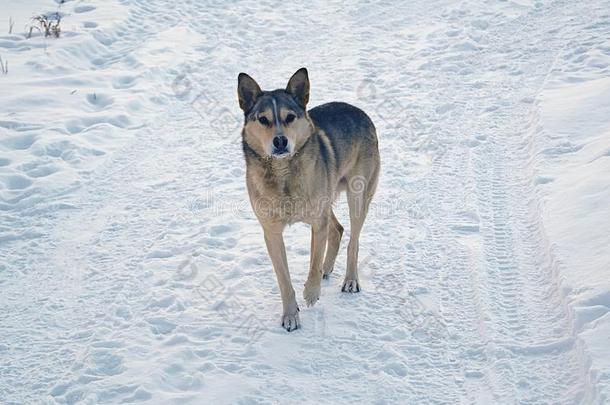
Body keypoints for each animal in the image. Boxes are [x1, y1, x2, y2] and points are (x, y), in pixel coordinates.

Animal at [235, 68, 378, 330]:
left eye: (290, 117)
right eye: (263, 119)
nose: (280, 141)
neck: (283, 174)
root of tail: (358, 110)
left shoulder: (317, 223)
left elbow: (313, 261)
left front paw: (311, 292)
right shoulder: (271, 232)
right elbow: (284, 279)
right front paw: (291, 315)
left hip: (358, 195)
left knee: (353, 240)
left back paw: (350, 280)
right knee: (338, 229)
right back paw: (327, 268)